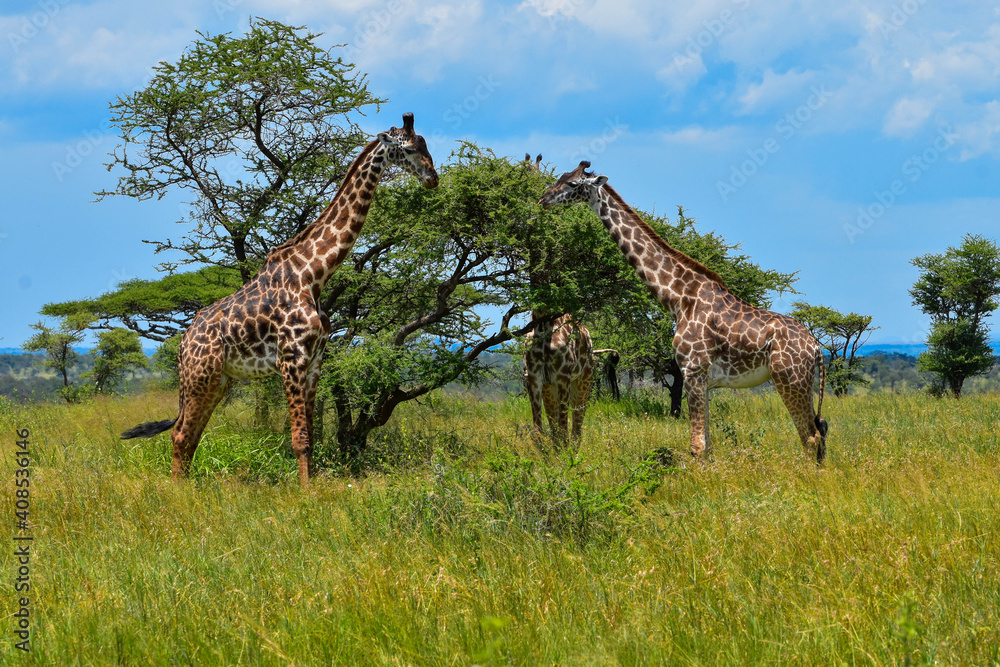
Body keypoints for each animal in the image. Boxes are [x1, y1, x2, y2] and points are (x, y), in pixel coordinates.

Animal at [120, 113, 439, 486]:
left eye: (425, 145)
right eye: (409, 149)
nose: (433, 179)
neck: (314, 273)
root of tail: (184, 343)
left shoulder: (315, 361)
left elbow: (311, 436)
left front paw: (310, 487)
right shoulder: (292, 358)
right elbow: (299, 438)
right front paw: (305, 494)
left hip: (218, 379)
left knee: (191, 434)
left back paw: (187, 488)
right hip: (200, 375)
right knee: (181, 434)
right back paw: (178, 492)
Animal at [523, 313, 596, 447]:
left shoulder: (563, 375)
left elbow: (563, 431)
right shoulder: (532, 376)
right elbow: (538, 432)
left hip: (584, 381)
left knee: (576, 428)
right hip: (550, 388)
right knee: (557, 428)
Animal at [538, 161, 827, 461]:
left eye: (573, 184)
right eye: (561, 176)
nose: (542, 200)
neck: (678, 298)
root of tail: (816, 348)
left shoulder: (692, 370)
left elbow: (697, 446)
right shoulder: (702, 379)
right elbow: (707, 444)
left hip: (789, 378)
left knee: (810, 437)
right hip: (801, 382)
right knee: (820, 432)